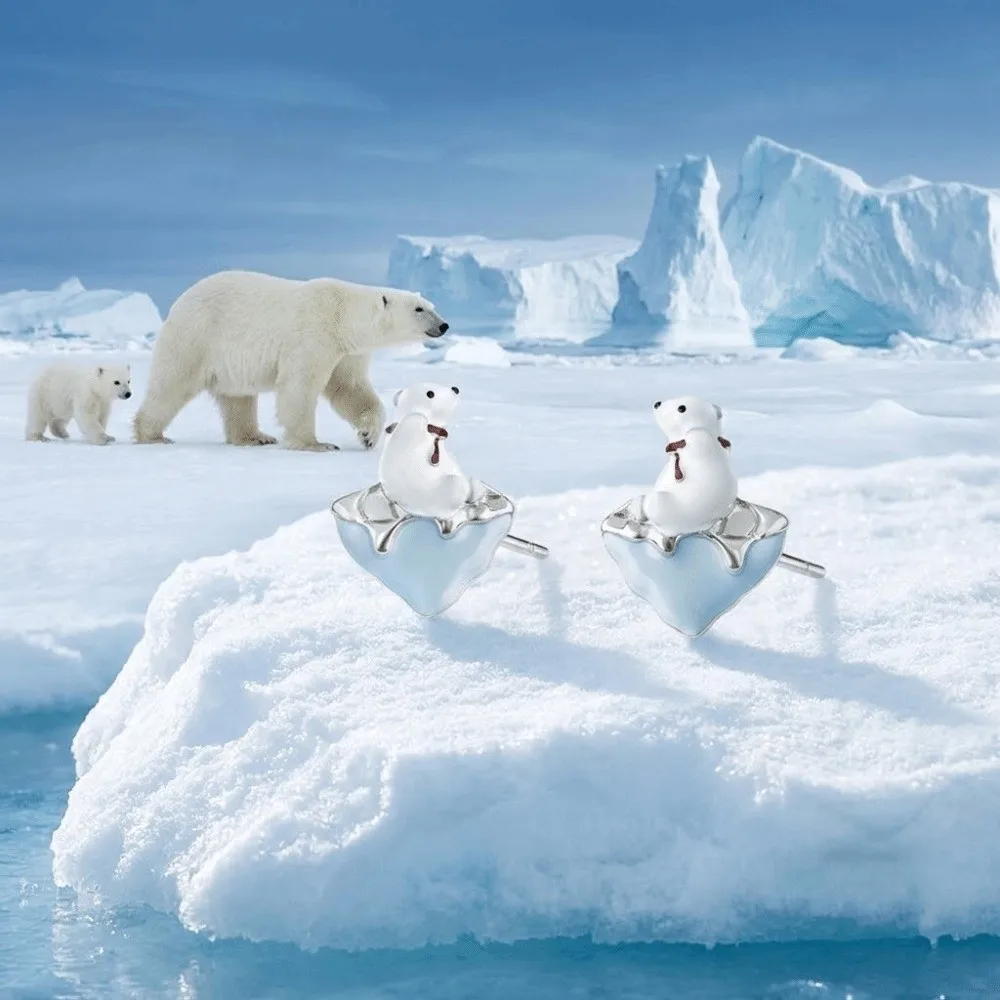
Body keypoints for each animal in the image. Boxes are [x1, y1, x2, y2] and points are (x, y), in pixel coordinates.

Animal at [132, 270, 449, 451]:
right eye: (419, 309)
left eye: (431, 305)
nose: (444, 325)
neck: (343, 316)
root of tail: (180, 301)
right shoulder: (313, 334)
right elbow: (300, 387)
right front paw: (315, 444)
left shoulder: (348, 352)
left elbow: (350, 388)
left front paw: (368, 435)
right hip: (197, 336)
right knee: (172, 383)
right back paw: (151, 434)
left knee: (238, 397)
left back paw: (255, 437)